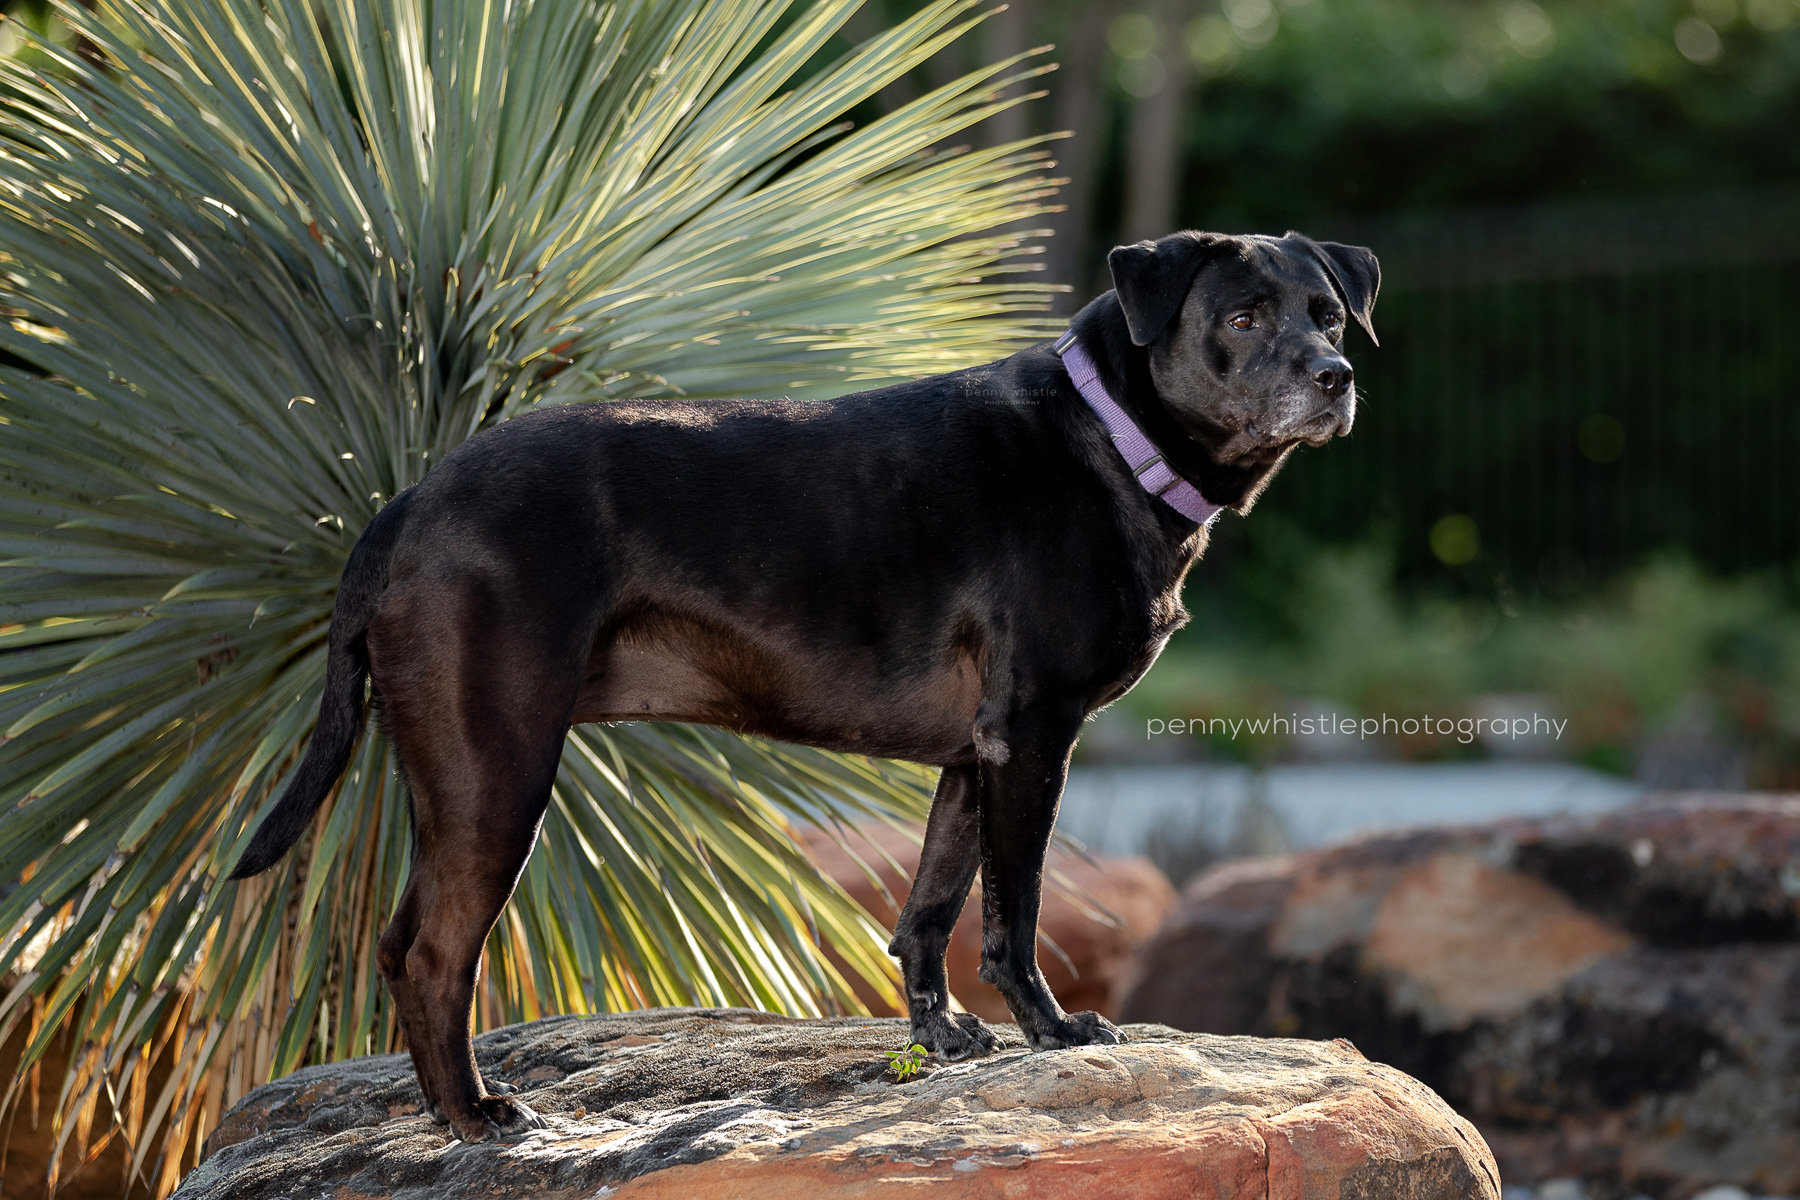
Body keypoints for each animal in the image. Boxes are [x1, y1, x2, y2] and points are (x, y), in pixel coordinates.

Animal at [225, 230, 1375, 1144]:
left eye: (1329, 313)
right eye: (1241, 315)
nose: (1334, 377)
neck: (1107, 435)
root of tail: (412, 500)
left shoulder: (977, 757)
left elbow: (930, 908)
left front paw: (943, 1036)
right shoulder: (1036, 740)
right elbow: (1012, 913)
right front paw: (1052, 1031)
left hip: (462, 778)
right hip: (497, 773)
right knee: (428, 953)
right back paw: (475, 1113)